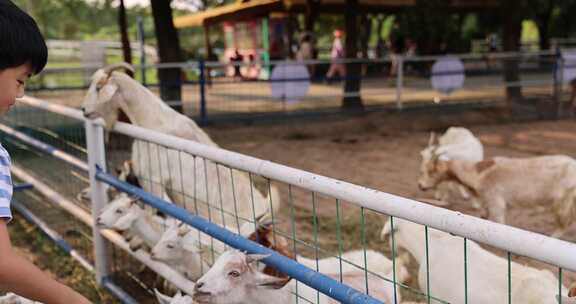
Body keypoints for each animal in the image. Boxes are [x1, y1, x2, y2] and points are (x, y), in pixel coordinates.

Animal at [82, 62, 280, 228]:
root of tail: (264, 208)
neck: (152, 122)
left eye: (98, 87)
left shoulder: (154, 181)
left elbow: (151, 213)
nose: (84, 110)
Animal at [418, 154, 576, 238]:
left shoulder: (496, 200)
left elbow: (499, 223)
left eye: (431, 172)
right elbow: (483, 216)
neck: (479, 173)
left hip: (563, 201)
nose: (420, 185)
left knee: (565, 222)